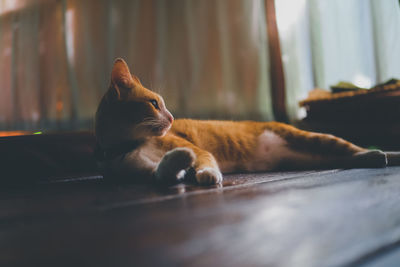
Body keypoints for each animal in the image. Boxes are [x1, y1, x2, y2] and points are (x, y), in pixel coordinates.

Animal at [95, 58, 398, 185]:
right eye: (155, 104)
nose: (171, 117)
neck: (129, 146)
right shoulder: (148, 172)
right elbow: (163, 173)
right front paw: (179, 163)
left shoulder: (200, 150)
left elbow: (203, 158)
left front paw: (205, 173)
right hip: (313, 157)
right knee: (344, 157)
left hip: (316, 140)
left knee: (355, 148)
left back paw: (381, 155)